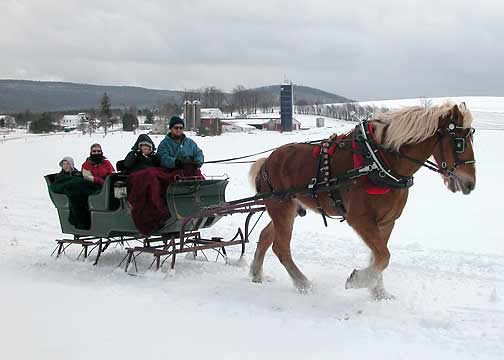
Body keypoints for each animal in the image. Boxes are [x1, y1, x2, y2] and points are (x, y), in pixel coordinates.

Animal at [248, 102, 476, 300]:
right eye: (459, 143)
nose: (471, 184)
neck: (379, 161)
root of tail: (266, 162)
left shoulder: (387, 221)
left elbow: (378, 256)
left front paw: (379, 293)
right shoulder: (360, 219)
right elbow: (383, 256)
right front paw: (358, 280)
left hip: (290, 210)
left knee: (265, 236)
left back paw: (256, 274)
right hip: (282, 209)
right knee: (281, 247)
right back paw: (303, 284)